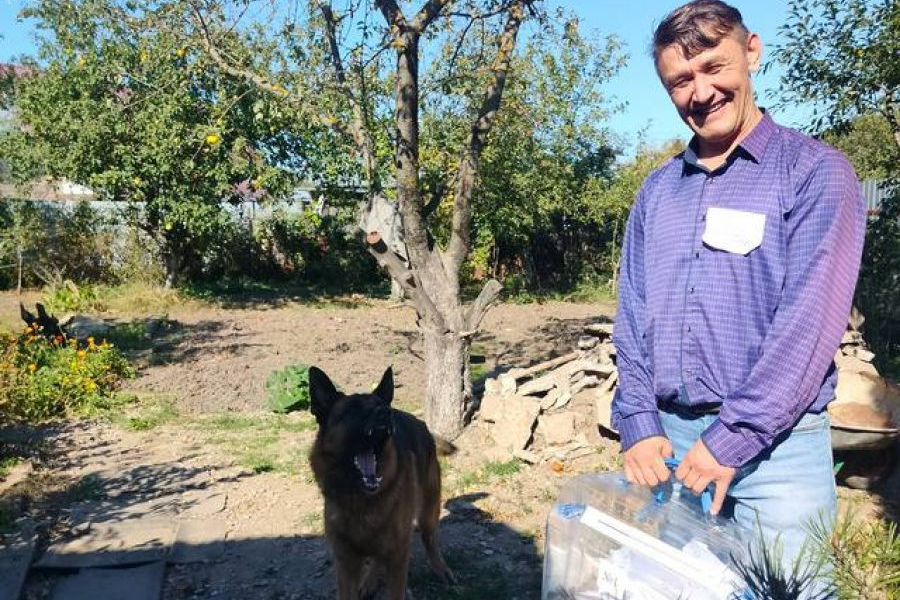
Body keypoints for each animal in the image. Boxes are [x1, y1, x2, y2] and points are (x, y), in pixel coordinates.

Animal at [310, 364, 454, 596]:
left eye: (380, 406)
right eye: (352, 410)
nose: (386, 412)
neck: (359, 501)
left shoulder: (398, 557)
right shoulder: (345, 564)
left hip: (429, 512)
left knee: (429, 539)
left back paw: (440, 568)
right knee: (378, 557)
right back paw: (370, 580)